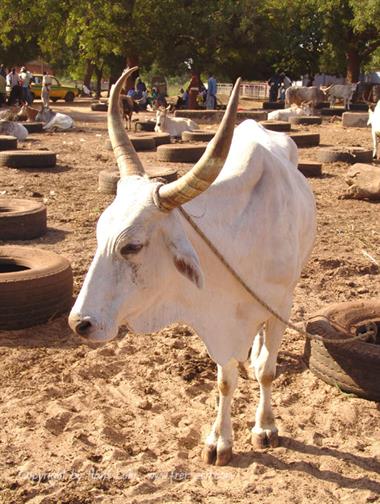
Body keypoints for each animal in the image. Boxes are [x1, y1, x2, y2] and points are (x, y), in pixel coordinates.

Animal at [69, 69, 318, 466]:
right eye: (98, 233)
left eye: (132, 246)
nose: (79, 323)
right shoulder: (217, 321)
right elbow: (225, 380)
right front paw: (220, 440)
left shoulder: (281, 306)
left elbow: (268, 371)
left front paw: (265, 427)